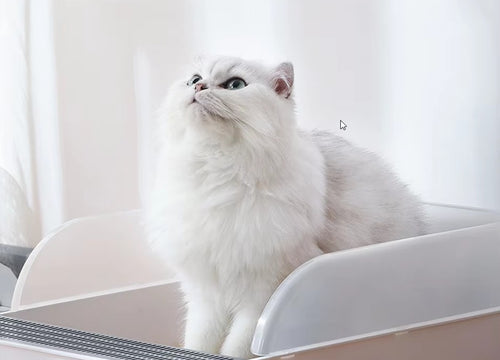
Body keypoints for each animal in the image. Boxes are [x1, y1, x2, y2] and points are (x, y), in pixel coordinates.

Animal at [146, 55, 426, 358]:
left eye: (235, 85)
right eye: (194, 79)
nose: (199, 87)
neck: (215, 175)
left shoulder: (261, 296)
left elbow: (235, 348)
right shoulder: (205, 295)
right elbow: (199, 342)